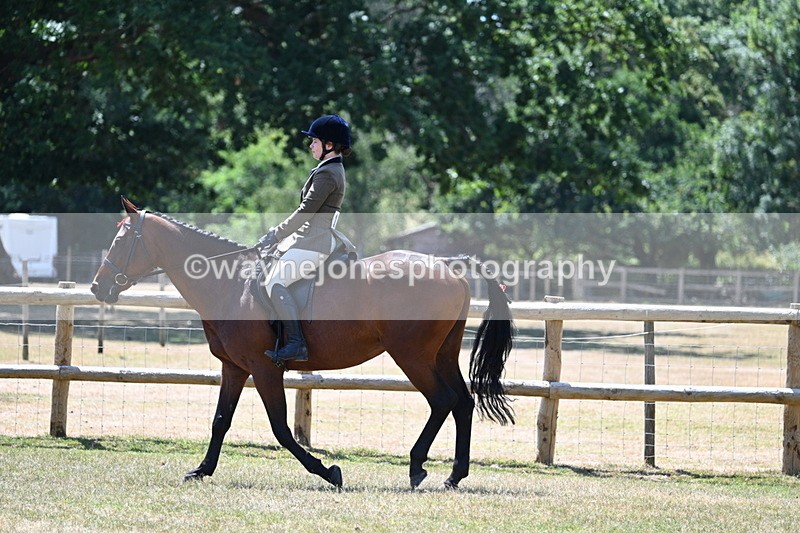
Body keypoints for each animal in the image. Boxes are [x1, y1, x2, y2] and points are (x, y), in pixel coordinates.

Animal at [90, 197, 515, 489]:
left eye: (121, 239)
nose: (98, 287)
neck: (231, 284)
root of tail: (449, 267)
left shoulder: (264, 369)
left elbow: (280, 428)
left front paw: (328, 471)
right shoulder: (235, 367)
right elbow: (220, 420)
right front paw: (201, 470)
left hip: (412, 356)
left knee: (442, 400)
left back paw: (416, 466)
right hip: (442, 354)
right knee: (462, 402)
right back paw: (454, 476)